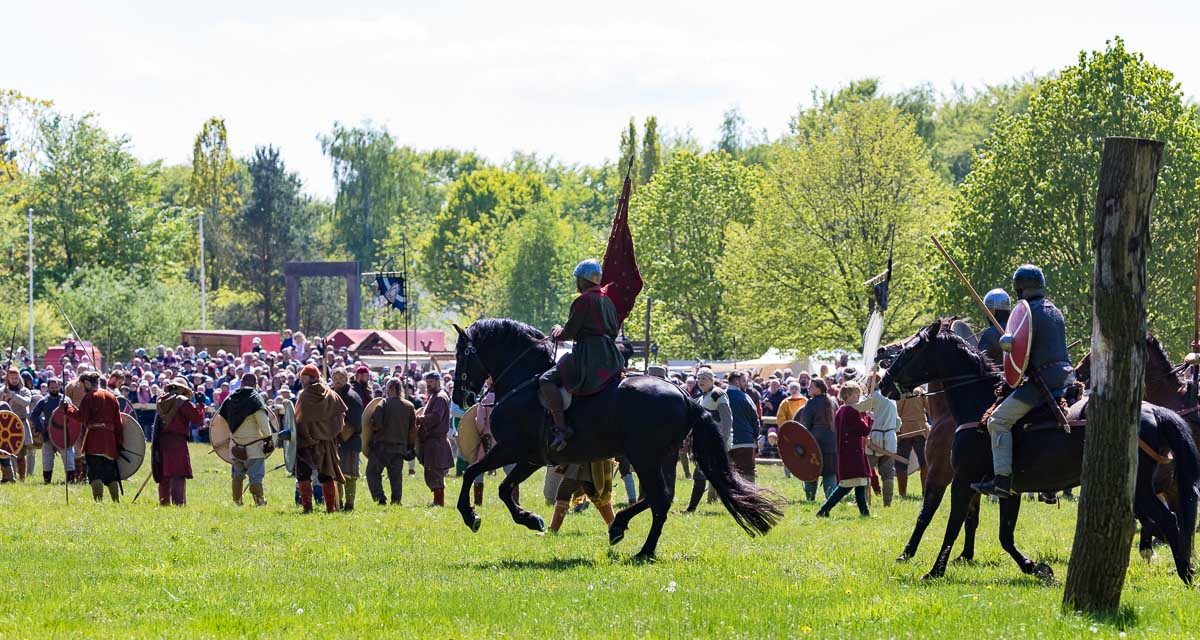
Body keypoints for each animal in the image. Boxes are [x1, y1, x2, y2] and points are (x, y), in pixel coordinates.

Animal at [453, 319, 782, 559]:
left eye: (461, 355)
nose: (460, 397)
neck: (523, 380)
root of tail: (686, 397)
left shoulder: (512, 449)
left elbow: (474, 474)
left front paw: (471, 516)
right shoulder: (530, 457)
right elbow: (503, 488)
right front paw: (531, 519)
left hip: (644, 458)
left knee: (659, 499)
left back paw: (641, 548)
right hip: (661, 458)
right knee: (661, 498)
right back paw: (622, 528)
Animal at [878, 319, 1195, 583]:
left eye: (910, 350)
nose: (883, 383)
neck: (978, 403)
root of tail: (1155, 411)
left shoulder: (961, 480)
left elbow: (951, 522)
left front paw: (934, 570)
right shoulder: (1008, 489)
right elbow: (1004, 535)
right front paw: (1035, 568)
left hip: (1139, 487)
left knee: (1169, 519)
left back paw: (1185, 573)